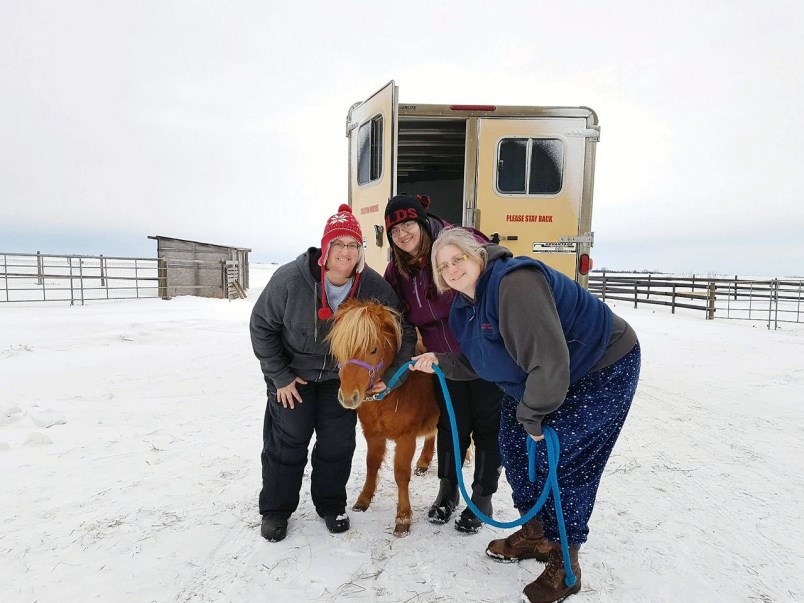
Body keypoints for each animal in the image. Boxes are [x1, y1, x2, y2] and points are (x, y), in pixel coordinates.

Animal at [328, 300, 440, 536]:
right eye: (340, 348)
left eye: (373, 349)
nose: (348, 397)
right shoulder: (372, 434)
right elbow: (371, 464)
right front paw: (364, 499)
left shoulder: (406, 438)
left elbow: (401, 474)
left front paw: (403, 517)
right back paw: (423, 462)